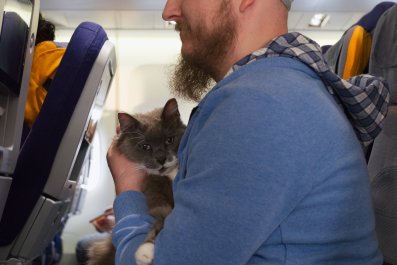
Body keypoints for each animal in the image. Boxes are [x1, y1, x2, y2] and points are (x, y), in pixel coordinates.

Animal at [87, 98, 185, 264]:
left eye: (169, 140)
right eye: (145, 146)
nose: (161, 159)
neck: (170, 175)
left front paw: (145, 251)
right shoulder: (156, 197)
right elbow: (163, 215)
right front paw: (145, 252)